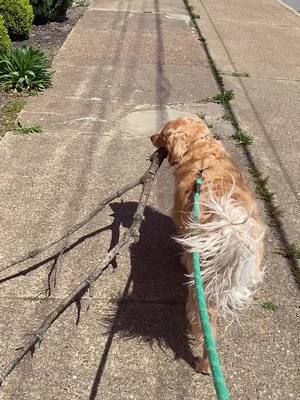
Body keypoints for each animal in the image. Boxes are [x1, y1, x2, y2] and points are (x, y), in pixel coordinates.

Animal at [150, 117, 264, 374]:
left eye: (163, 133)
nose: (151, 137)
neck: (200, 150)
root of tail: (229, 230)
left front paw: (182, 259)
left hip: (201, 291)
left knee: (205, 329)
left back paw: (203, 364)